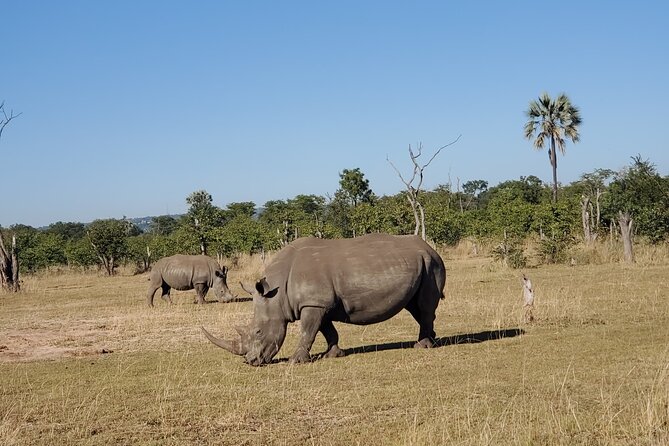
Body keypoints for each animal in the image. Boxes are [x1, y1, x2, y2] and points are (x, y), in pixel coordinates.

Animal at [202, 233, 446, 366]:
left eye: (258, 332)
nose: (250, 362)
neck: (276, 294)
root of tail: (429, 247)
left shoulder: (313, 303)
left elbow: (307, 331)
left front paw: (295, 361)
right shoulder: (319, 303)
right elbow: (326, 330)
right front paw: (333, 354)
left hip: (431, 263)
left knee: (423, 307)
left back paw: (422, 346)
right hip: (420, 263)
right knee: (414, 307)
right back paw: (433, 340)